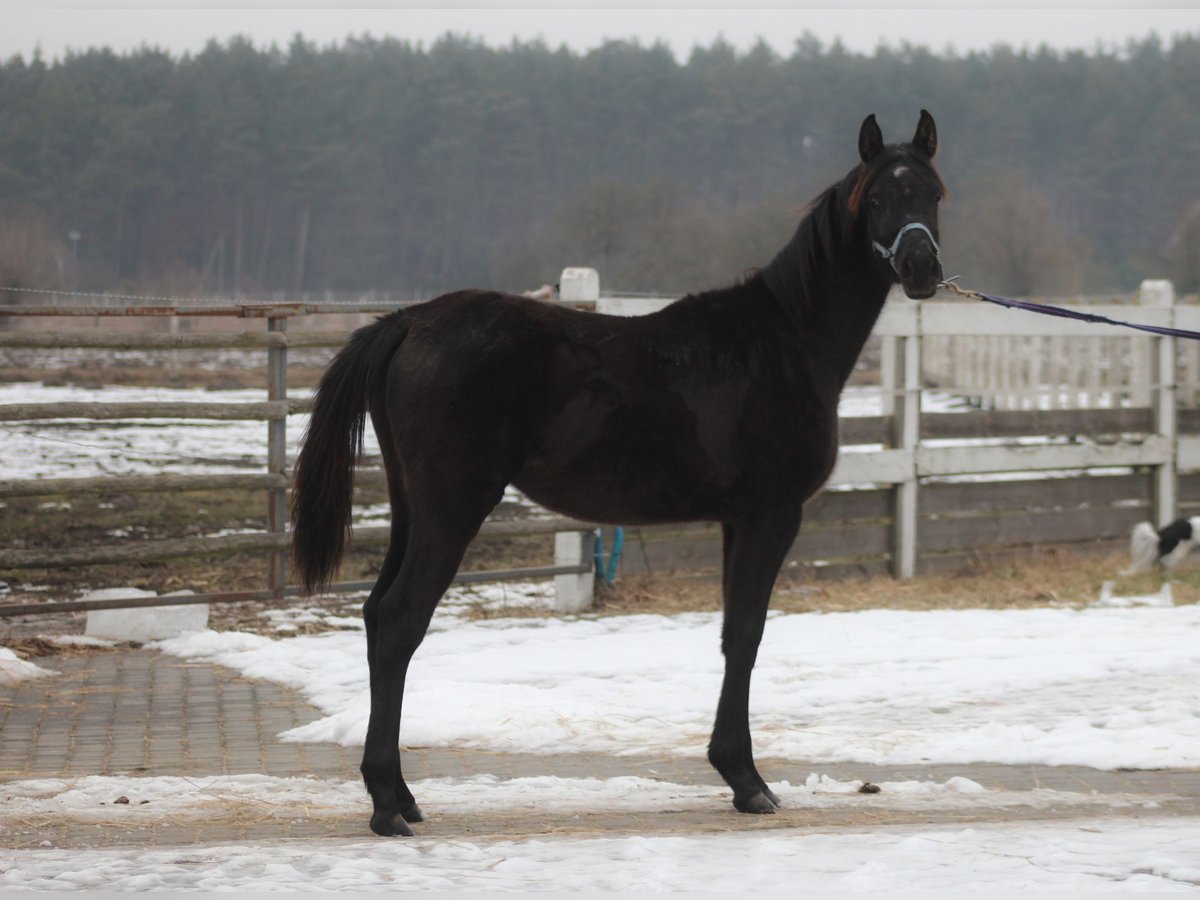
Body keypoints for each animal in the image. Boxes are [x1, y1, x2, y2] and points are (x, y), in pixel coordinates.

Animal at [292, 112, 945, 840]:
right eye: (879, 197)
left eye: (934, 193)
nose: (923, 269)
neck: (785, 341)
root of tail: (408, 322)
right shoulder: (772, 513)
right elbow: (749, 633)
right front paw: (747, 781)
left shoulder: (736, 519)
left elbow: (732, 633)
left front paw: (734, 771)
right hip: (451, 509)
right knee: (401, 620)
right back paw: (387, 803)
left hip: (413, 508)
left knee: (377, 617)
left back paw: (401, 796)